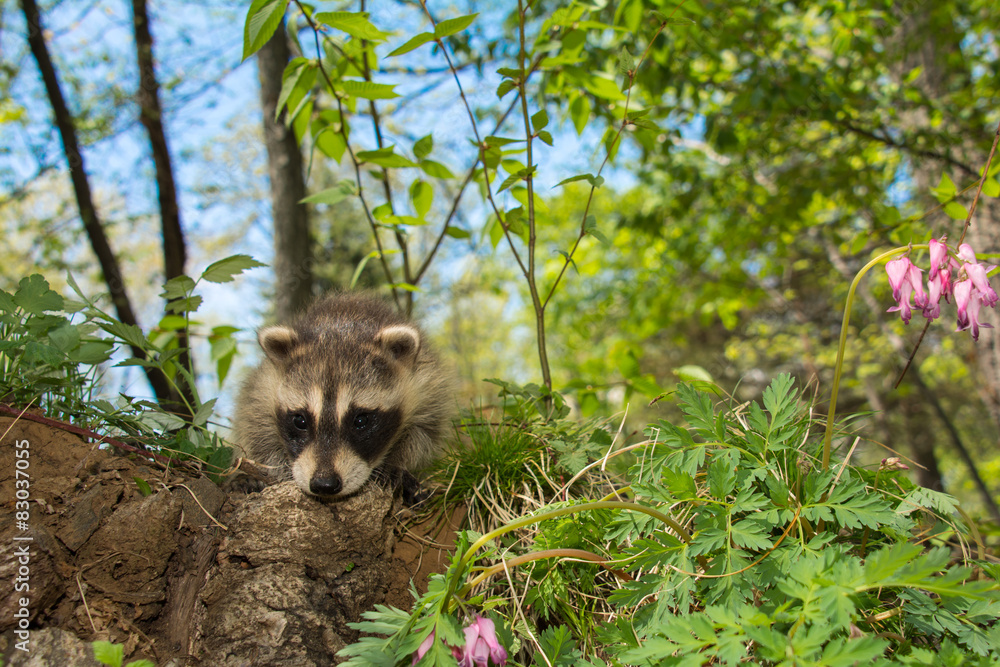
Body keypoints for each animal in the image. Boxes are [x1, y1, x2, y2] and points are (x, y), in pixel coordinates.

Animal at [232, 293, 454, 500]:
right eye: (300, 420)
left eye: (361, 420)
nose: (324, 484)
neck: (341, 324)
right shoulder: (261, 390)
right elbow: (258, 435)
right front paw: (275, 471)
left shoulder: (428, 388)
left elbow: (424, 433)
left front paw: (399, 463)